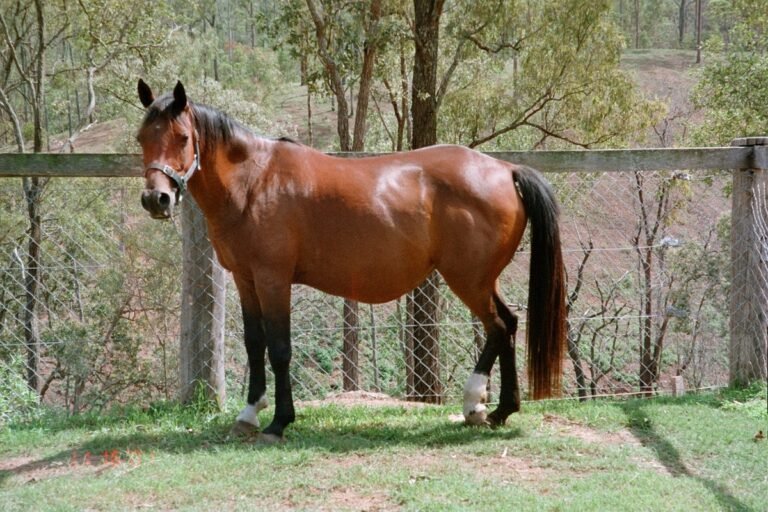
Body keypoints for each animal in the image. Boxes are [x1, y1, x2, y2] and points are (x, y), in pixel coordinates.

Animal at [136, 80, 566, 442]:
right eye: (141, 137)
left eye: (183, 137)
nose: (156, 199)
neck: (255, 181)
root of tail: (507, 169)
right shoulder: (246, 279)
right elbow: (255, 344)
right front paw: (248, 414)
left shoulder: (273, 279)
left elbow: (280, 348)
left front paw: (279, 421)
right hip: (482, 280)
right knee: (508, 324)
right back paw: (498, 411)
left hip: (468, 279)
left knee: (497, 327)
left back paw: (475, 404)